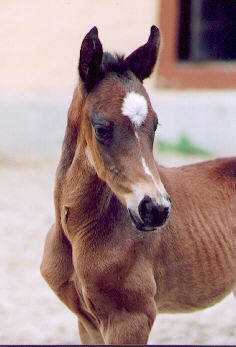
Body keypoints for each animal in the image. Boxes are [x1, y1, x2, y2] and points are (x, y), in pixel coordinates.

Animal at [39, 27, 235, 346]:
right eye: (101, 128)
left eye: (155, 125)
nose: (155, 209)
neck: (78, 233)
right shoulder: (88, 323)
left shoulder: (130, 318)